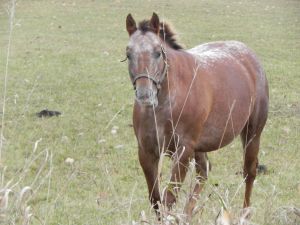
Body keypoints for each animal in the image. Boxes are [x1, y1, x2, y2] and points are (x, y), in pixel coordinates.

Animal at [123, 12, 268, 218]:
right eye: (128, 54)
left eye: (158, 52)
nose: (145, 94)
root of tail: (249, 56)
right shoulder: (146, 152)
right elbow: (156, 200)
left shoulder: (183, 151)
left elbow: (169, 198)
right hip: (200, 147)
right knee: (204, 171)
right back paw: (188, 214)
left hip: (252, 134)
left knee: (249, 172)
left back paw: (245, 214)